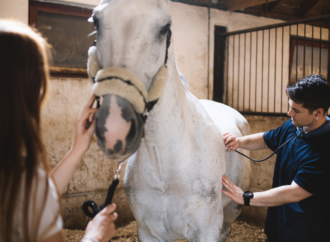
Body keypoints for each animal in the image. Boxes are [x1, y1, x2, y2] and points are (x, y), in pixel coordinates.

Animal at [87, 0, 250, 241]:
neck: (164, 168)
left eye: (165, 27)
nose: (115, 126)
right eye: (96, 21)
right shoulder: (149, 232)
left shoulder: (207, 230)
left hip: (232, 209)